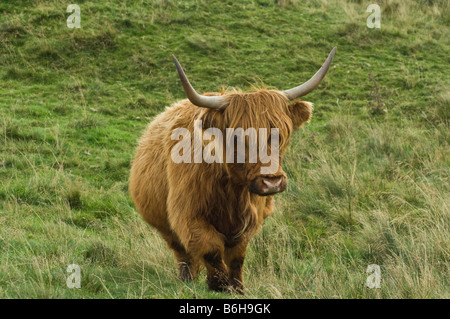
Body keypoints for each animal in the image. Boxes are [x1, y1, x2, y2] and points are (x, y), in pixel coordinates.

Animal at [128, 46, 336, 294]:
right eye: (238, 138)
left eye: (281, 135)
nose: (272, 182)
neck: (232, 190)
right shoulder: (188, 216)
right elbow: (210, 248)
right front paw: (217, 285)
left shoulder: (250, 220)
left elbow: (237, 257)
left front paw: (237, 287)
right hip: (165, 226)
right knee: (182, 253)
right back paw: (186, 279)